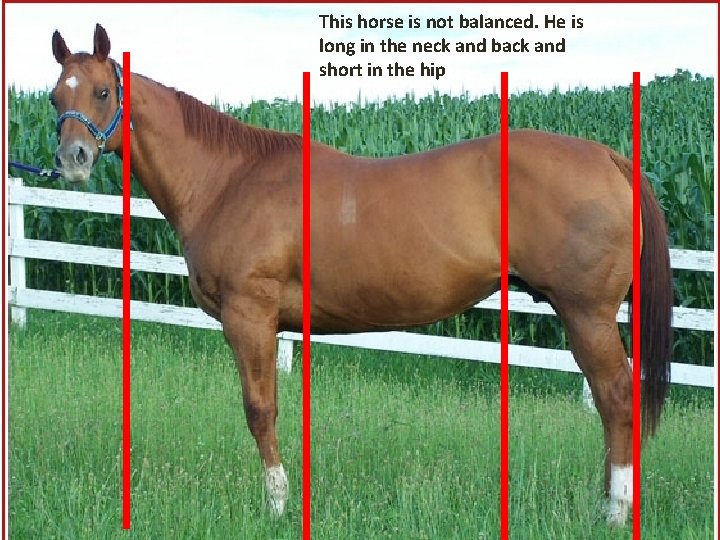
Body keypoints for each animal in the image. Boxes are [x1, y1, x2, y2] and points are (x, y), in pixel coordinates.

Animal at [50, 24, 672, 525]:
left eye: (103, 91)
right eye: (56, 95)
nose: (72, 159)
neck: (228, 179)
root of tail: (608, 158)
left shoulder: (249, 316)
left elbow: (260, 410)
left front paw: (277, 506)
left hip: (586, 314)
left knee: (616, 397)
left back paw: (614, 512)